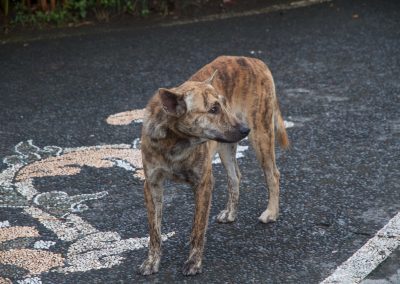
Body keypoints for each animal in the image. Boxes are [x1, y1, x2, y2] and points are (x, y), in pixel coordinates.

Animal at [139, 55, 290, 276]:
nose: (245, 129)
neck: (175, 142)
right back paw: (231, 212)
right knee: (235, 177)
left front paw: (194, 262)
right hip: (226, 146)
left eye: (223, 104)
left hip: (261, 135)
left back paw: (271, 212)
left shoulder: (203, 183)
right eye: (213, 109)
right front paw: (152, 261)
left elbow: (197, 228)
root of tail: (254, 60)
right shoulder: (152, 185)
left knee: (273, 175)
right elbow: (154, 231)